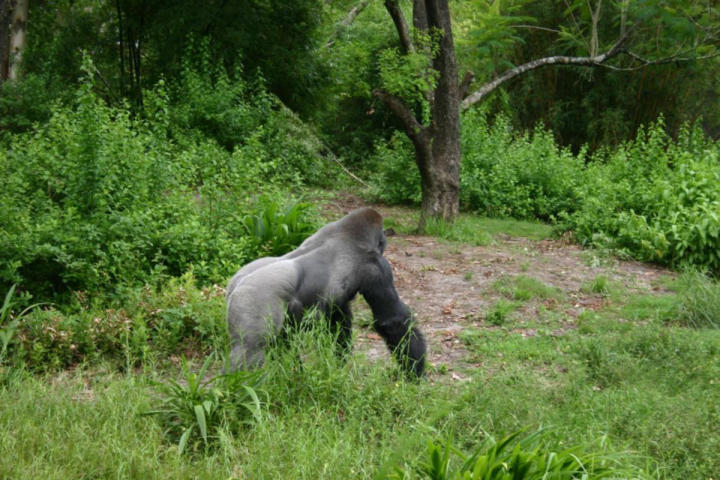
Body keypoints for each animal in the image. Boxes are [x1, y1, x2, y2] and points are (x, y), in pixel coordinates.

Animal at [228, 208, 424, 376]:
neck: (352, 234)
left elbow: (338, 322)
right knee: (250, 350)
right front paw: (415, 372)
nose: (384, 243)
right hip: (253, 299)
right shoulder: (377, 268)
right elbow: (392, 321)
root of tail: (236, 285)